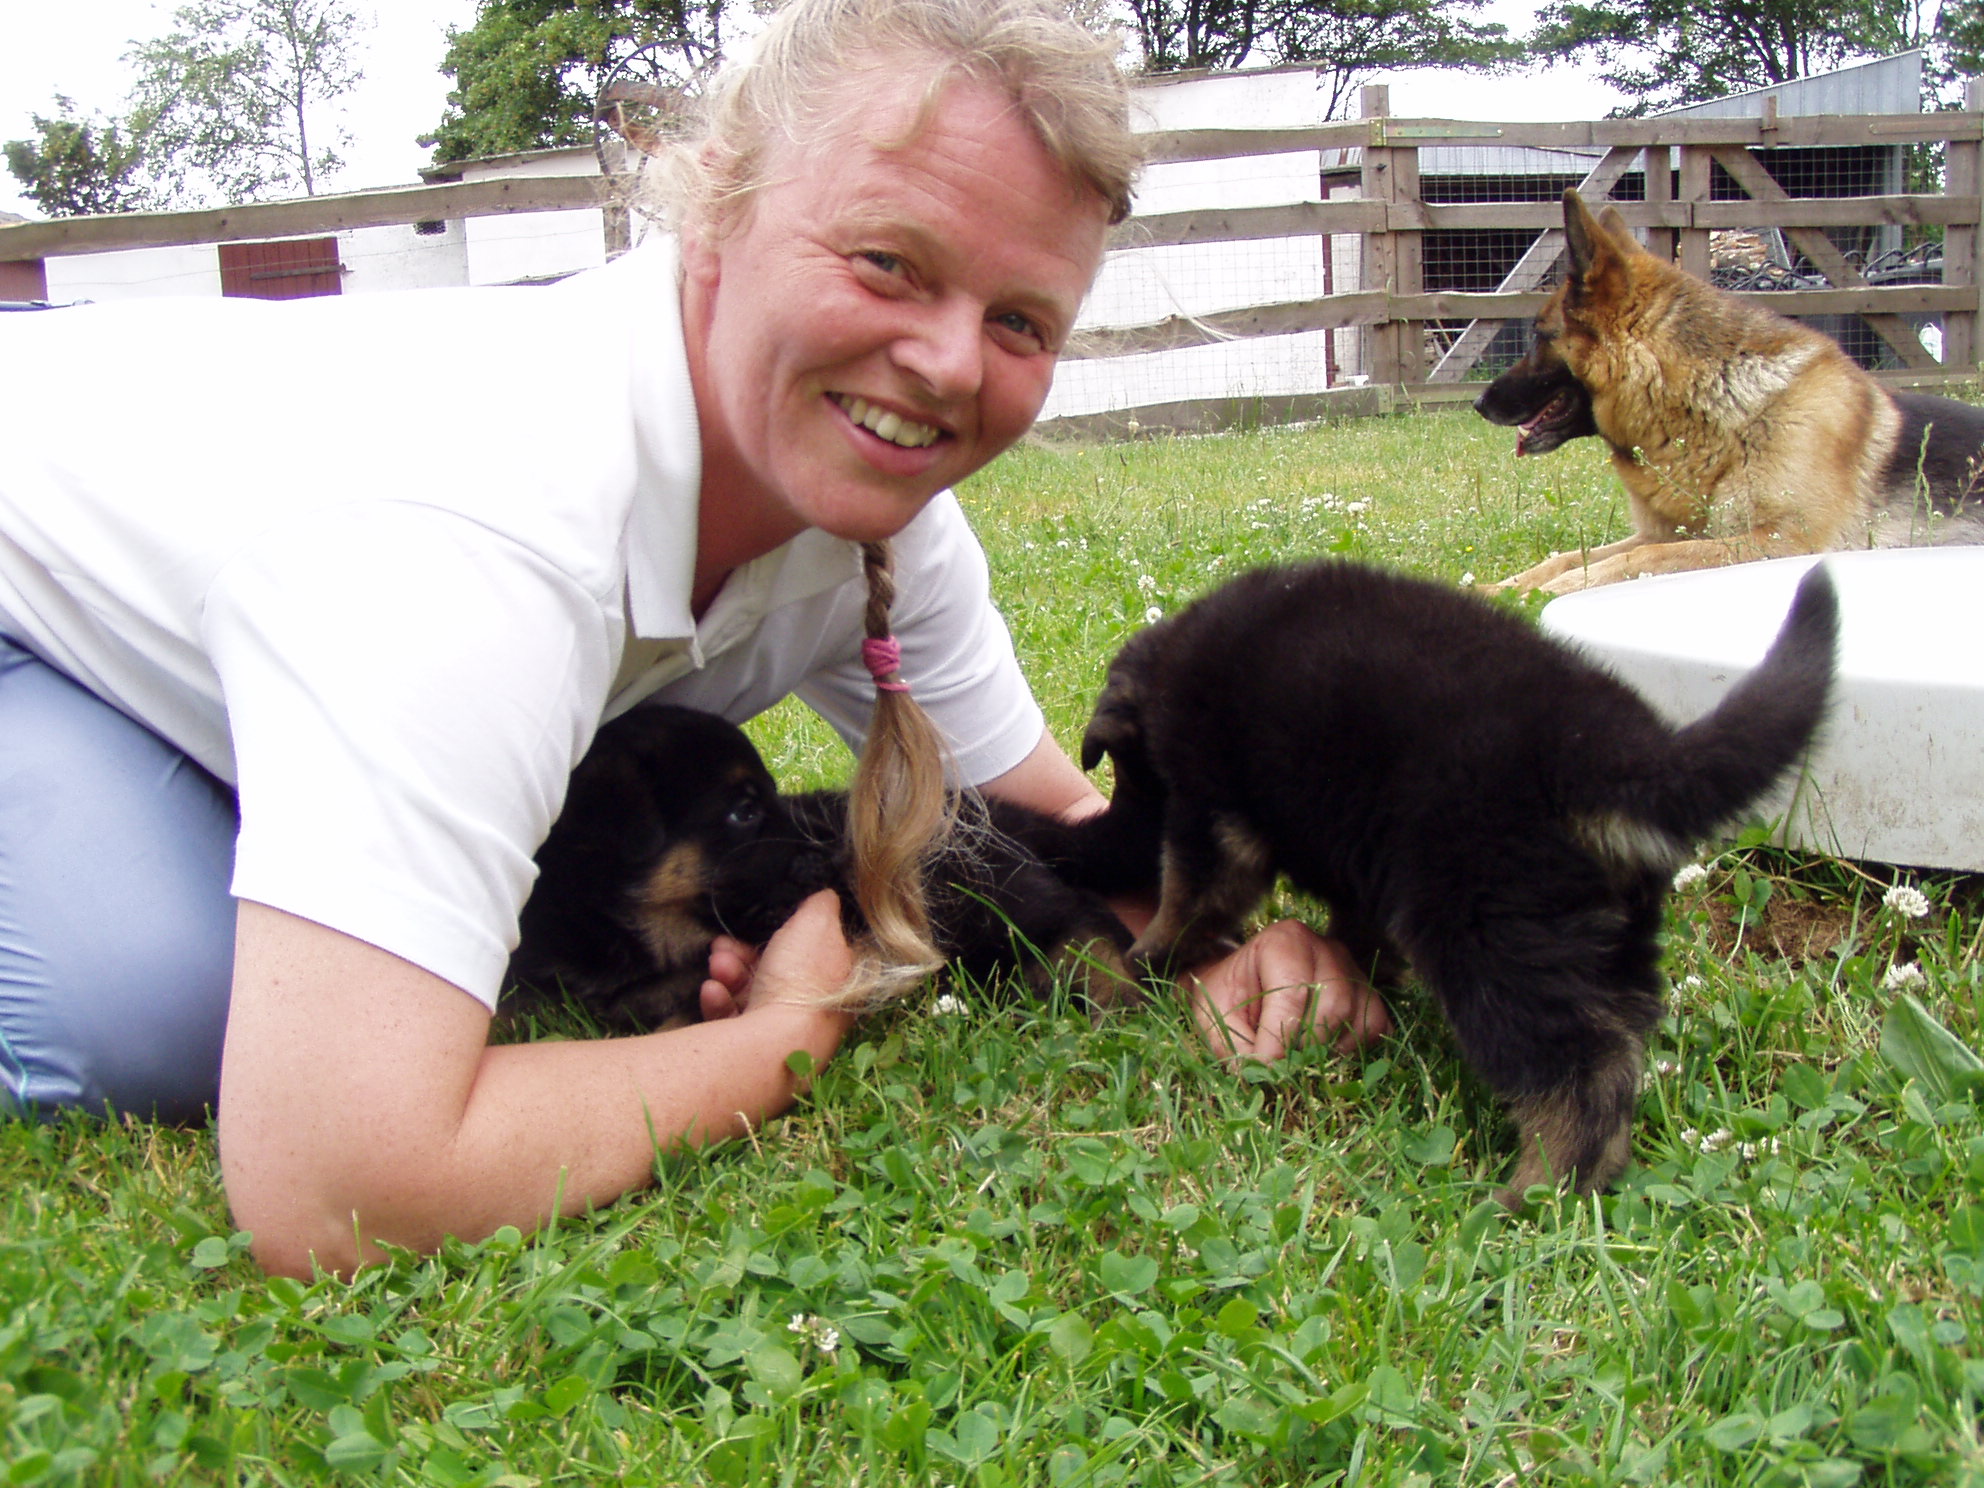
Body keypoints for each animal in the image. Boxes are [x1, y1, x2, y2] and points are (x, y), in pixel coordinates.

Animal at [1079, 563, 1833, 1206]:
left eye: (1129, 777)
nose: (1102, 831)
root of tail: (1614, 753)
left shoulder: (1217, 820)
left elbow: (1189, 894)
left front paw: (1146, 958)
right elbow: (1354, 928)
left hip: (1479, 924)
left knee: (1580, 1068)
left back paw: (1535, 1191)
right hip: (1606, 930)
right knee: (1618, 1040)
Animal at [1476, 189, 1984, 599]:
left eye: (1538, 336)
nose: (1480, 404)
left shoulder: (1781, 541)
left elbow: (1638, 560)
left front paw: (1547, 593)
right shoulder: (1675, 531)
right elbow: (1565, 557)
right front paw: (1499, 588)